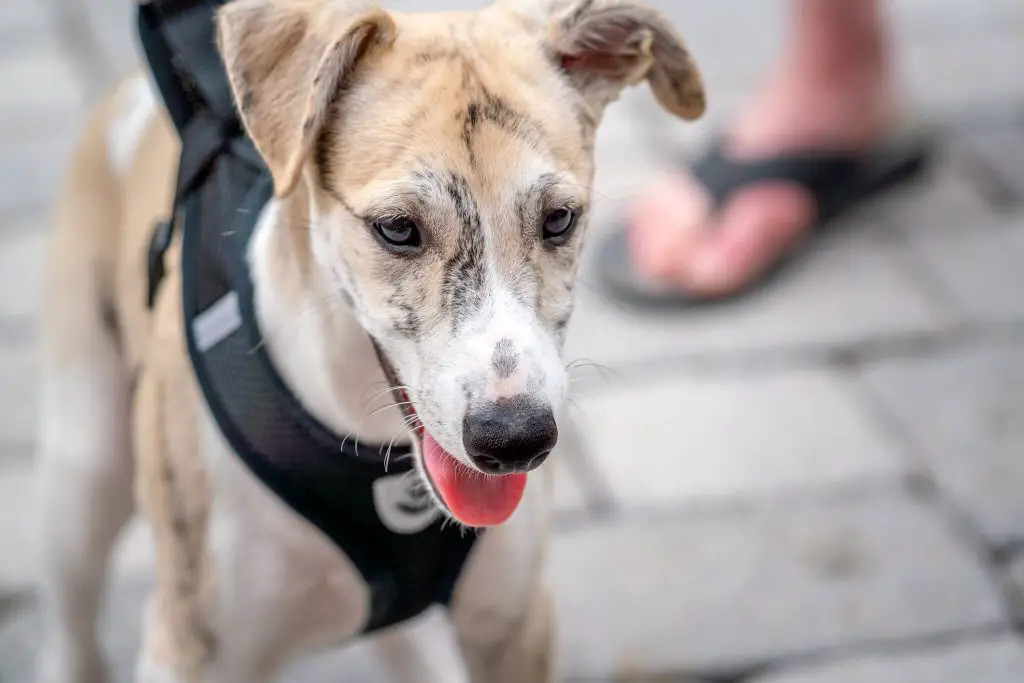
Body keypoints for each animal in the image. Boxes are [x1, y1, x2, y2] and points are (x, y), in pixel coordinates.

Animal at [34, 1, 704, 683]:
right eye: (397, 229)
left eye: (560, 219)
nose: (515, 441)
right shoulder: (190, 645)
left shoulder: (513, 624)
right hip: (84, 472)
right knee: (73, 622)